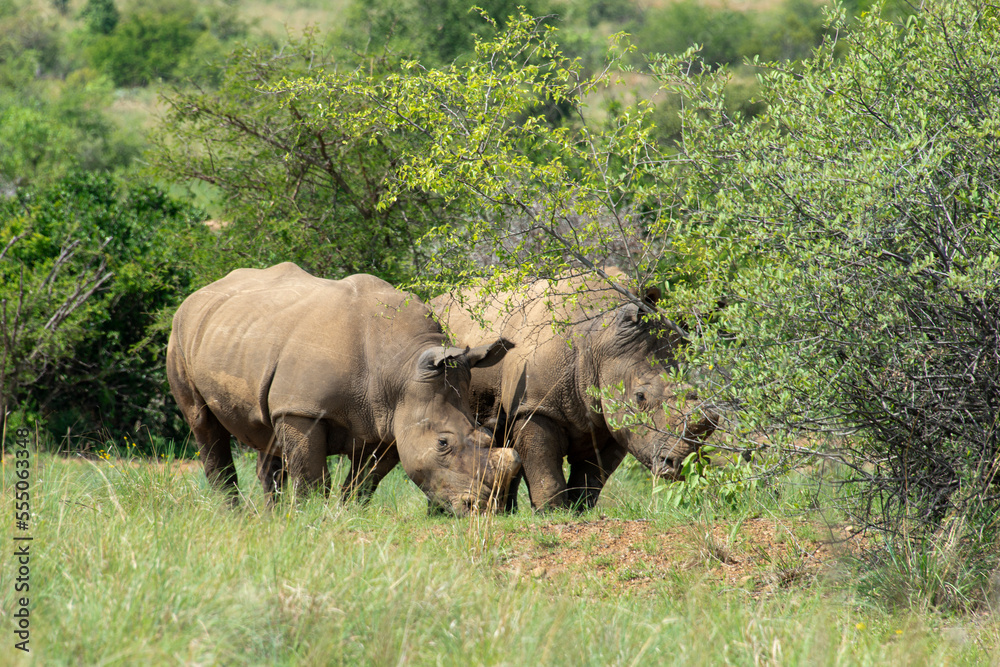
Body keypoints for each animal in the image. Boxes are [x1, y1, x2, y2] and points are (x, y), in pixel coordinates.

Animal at [166, 263, 521, 514]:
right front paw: (311, 517)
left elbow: (365, 481)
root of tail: (200, 293)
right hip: (180, 333)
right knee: (203, 423)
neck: (401, 368)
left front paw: (347, 514)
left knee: (266, 431)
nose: (481, 508)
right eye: (443, 443)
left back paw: (271, 518)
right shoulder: (302, 410)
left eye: (487, 436)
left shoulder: (389, 422)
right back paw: (235, 515)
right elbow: (311, 477)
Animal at [431, 272, 719, 511]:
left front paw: (580, 510)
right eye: (640, 397)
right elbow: (543, 464)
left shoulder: (609, 421)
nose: (680, 466)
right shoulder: (535, 406)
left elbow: (593, 474)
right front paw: (552, 512)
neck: (599, 340)